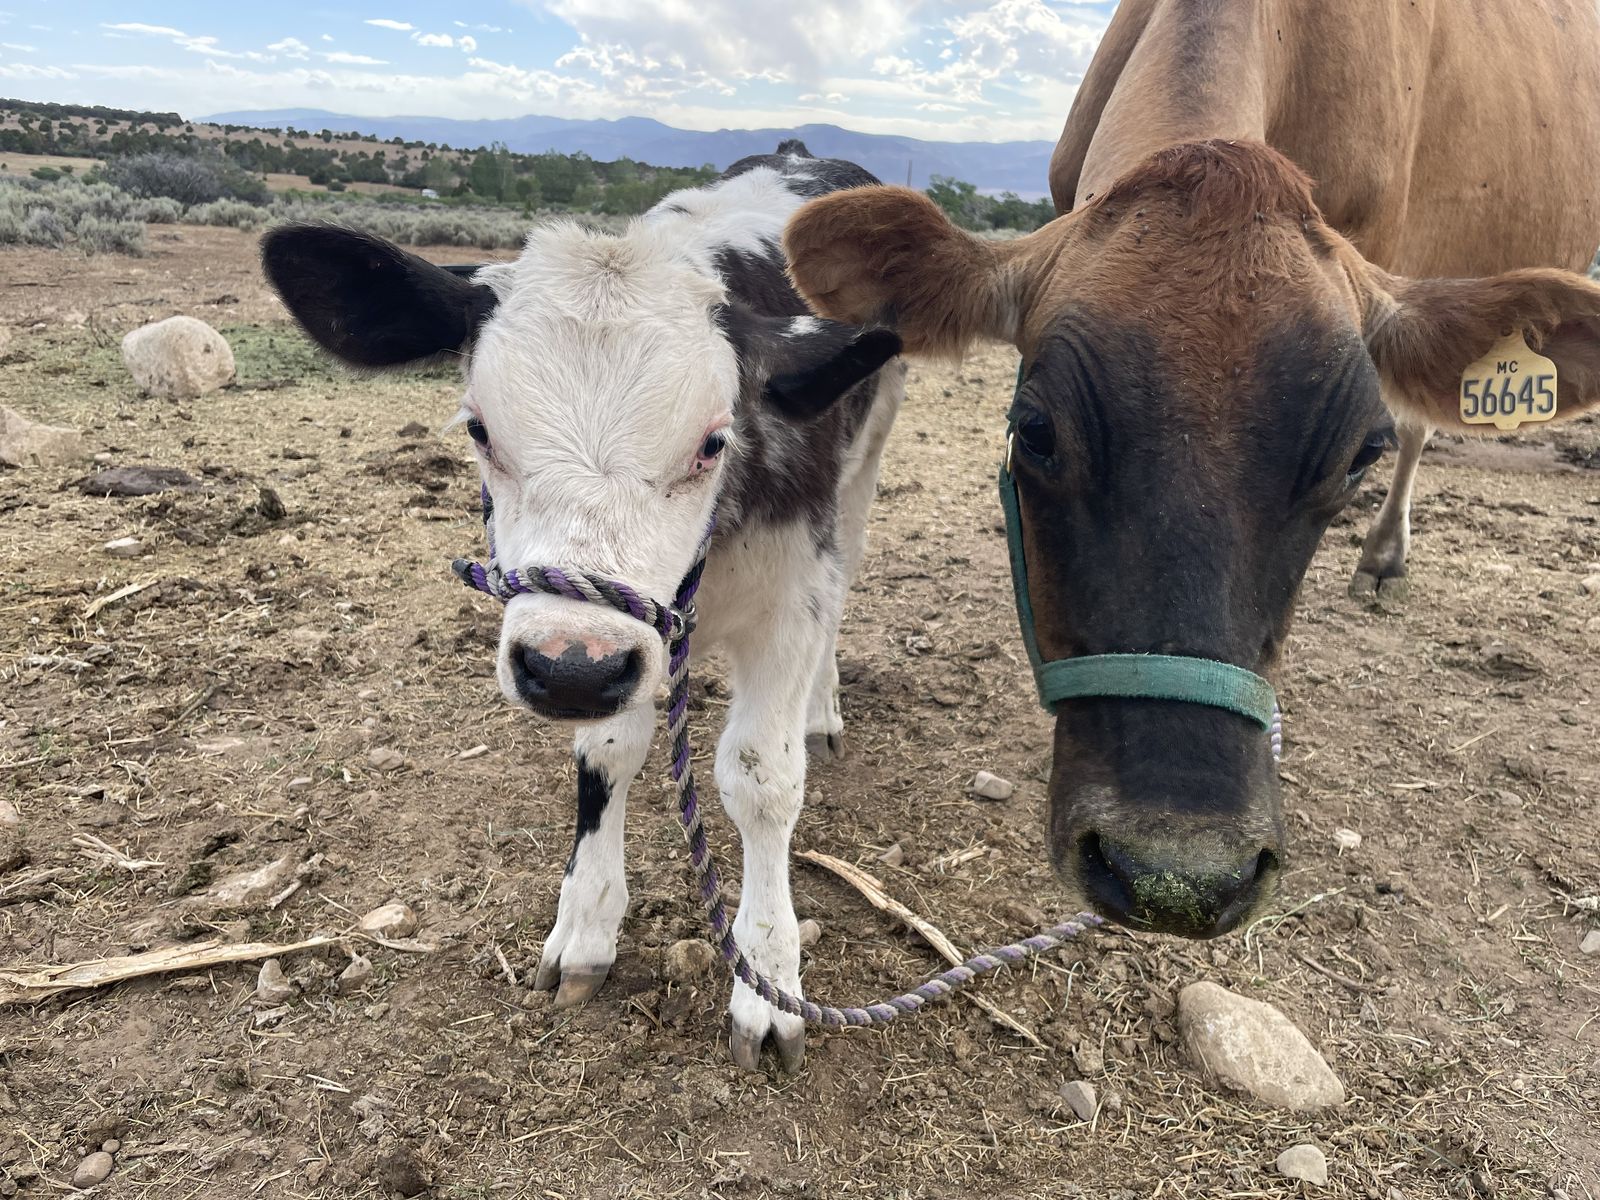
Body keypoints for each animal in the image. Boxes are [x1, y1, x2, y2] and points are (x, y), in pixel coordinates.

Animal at [262, 141, 906, 1071]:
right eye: (479, 430)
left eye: (713, 441)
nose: (568, 670)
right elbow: (605, 755)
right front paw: (588, 927)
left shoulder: (791, 592)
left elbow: (763, 779)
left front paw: (768, 980)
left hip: (864, 467)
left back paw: (822, 708)